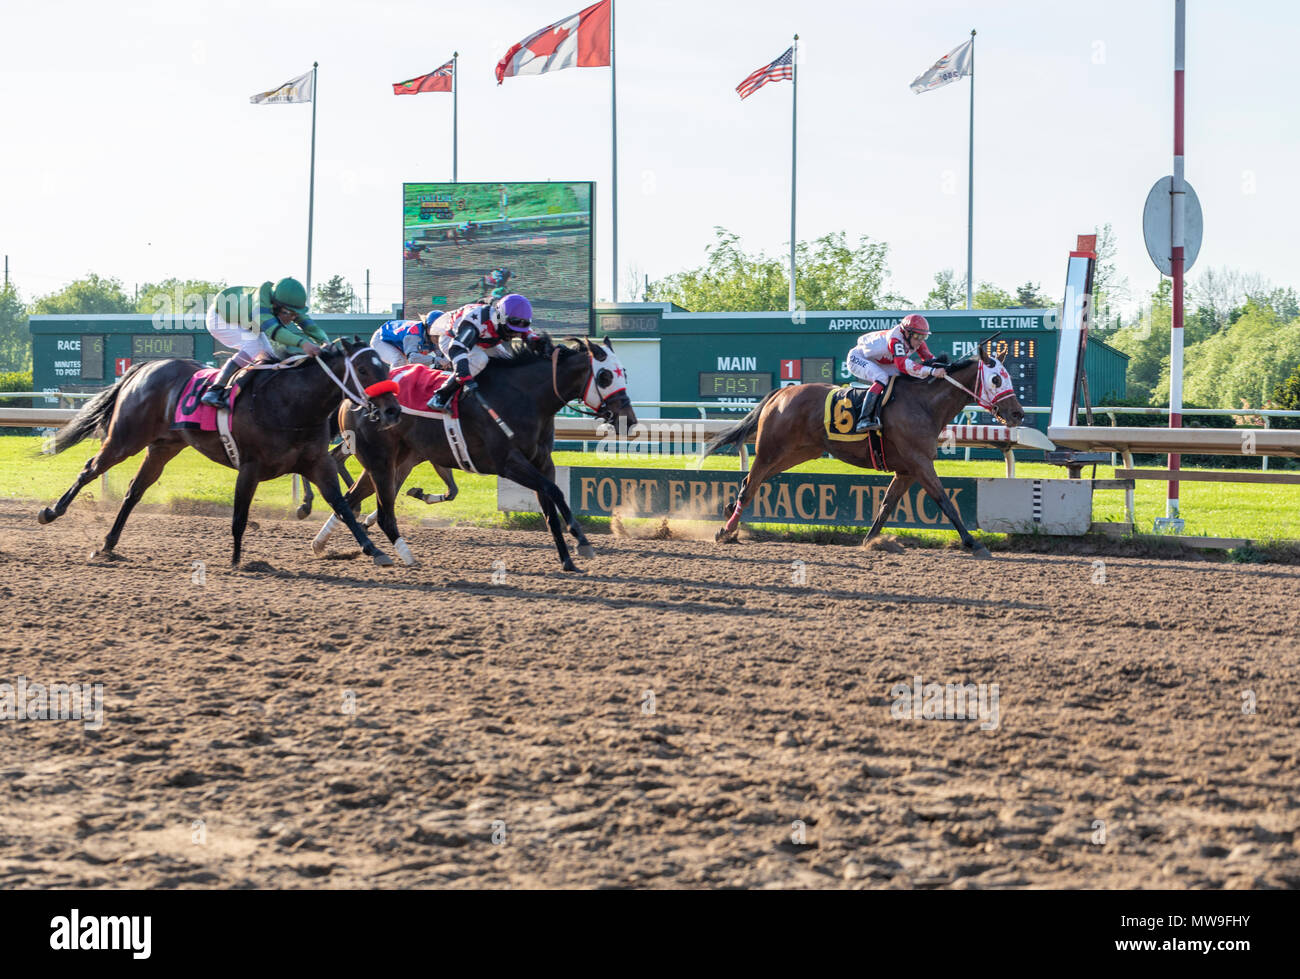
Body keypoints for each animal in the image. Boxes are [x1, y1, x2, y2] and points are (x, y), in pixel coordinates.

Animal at [314, 335, 639, 569]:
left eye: (624, 373)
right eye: (605, 376)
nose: (629, 420)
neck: (525, 397)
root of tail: (351, 396)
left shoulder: (542, 462)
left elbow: (549, 508)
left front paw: (568, 560)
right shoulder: (508, 463)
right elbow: (555, 492)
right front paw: (581, 540)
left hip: (397, 461)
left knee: (350, 499)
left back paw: (322, 545)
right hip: (380, 461)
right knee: (370, 507)